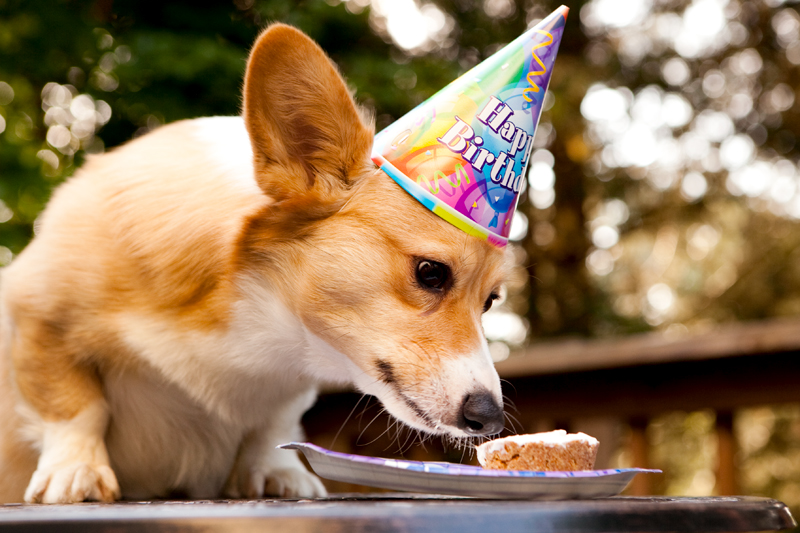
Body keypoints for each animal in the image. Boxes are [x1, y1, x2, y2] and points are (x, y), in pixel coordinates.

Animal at [0, 21, 510, 502]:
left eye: (490, 301)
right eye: (430, 272)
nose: (490, 419)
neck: (258, 320)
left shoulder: (287, 390)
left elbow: (272, 428)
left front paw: (276, 472)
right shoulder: (41, 320)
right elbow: (76, 408)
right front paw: (76, 472)